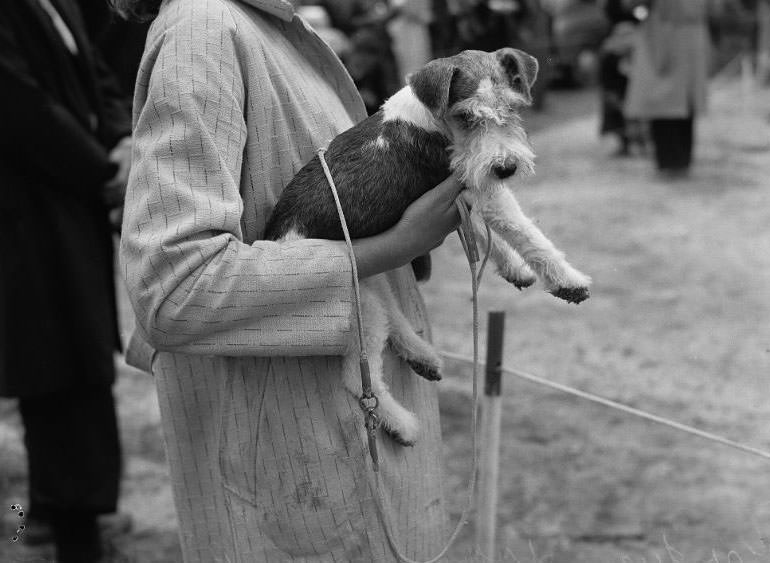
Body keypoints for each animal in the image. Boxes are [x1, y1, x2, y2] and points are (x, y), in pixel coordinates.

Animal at [268, 47, 592, 446]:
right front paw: (568, 280)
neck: (432, 119)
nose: (505, 167)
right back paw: (402, 423)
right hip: (360, 304)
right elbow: (525, 232)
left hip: (371, 276)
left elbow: (485, 232)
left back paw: (422, 355)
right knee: (359, 378)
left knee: (393, 316)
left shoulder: (464, 193)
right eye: (466, 116)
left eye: (512, 109)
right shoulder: (478, 187)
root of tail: (273, 237)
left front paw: (515, 268)